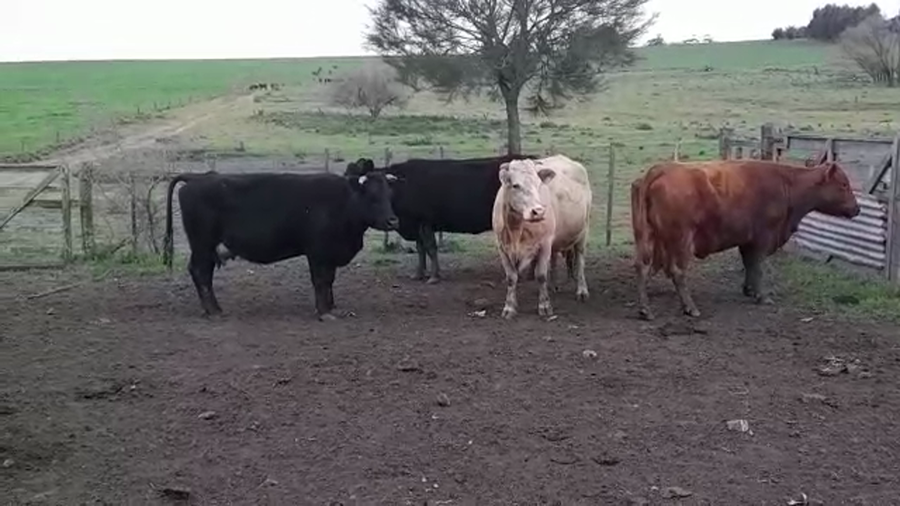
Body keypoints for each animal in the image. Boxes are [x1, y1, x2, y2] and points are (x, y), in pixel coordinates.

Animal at [163, 169, 400, 320]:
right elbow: (321, 280)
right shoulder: (318, 252)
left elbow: (330, 280)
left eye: (389, 195)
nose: (393, 221)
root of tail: (198, 177)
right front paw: (324, 311)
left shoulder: (330, 254)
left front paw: (332, 306)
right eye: (372, 196)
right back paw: (214, 311)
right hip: (202, 244)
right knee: (200, 272)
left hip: (208, 248)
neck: (343, 203)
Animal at [346, 154, 537, 283]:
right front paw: (419, 274)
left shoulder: (425, 222)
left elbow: (430, 248)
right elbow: (421, 249)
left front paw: (434, 276)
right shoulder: (417, 224)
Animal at [492, 155, 593, 319]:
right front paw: (509, 307)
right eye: (515, 185)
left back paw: (582, 291)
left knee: (580, 261)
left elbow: (540, 275)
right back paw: (553, 286)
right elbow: (511, 278)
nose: (538, 211)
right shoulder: (502, 247)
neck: (516, 229)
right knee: (554, 258)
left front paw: (544, 306)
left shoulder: (544, 244)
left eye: (538, 184)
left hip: (583, 232)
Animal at [630, 159, 861, 320]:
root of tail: (660, 169)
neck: (787, 184)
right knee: (677, 272)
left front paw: (749, 290)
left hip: (648, 238)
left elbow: (749, 264)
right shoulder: (762, 238)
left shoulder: (746, 240)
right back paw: (690, 308)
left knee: (643, 267)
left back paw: (645, 309)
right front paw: (762, 296)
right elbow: (757, 267)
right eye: (843, 184)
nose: (857, 209)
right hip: (681, 240)